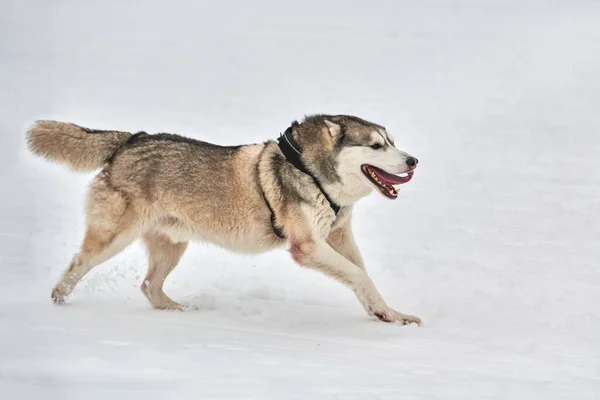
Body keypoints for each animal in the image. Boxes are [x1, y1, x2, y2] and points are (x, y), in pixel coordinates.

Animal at [27, 115, 422, 324]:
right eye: (375, 146)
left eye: (391, 141)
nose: (413, 160)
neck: (312, 172)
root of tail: (131, 140)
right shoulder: (307, 246)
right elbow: (358, 275)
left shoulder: (338, 237)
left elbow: (363, 278)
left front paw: (388, 314)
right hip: (112, 239)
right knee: (77, 265)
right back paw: (60, 299)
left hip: (172, 247)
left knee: (149, 286)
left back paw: (179, 311)